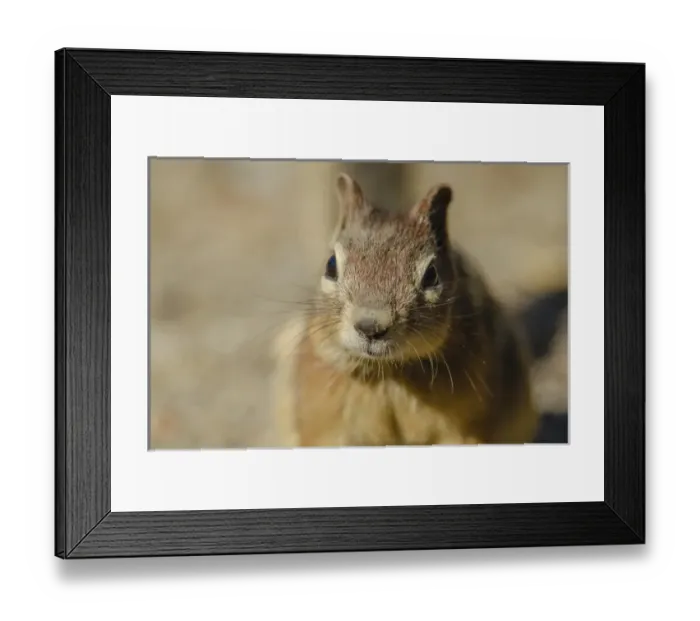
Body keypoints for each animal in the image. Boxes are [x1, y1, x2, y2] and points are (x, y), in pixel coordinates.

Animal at [271, 173, 541, 447]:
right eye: (331, 265)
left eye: (431, 274)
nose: (371, 326)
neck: (390, 373)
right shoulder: (326, 427)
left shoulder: (465, 429)